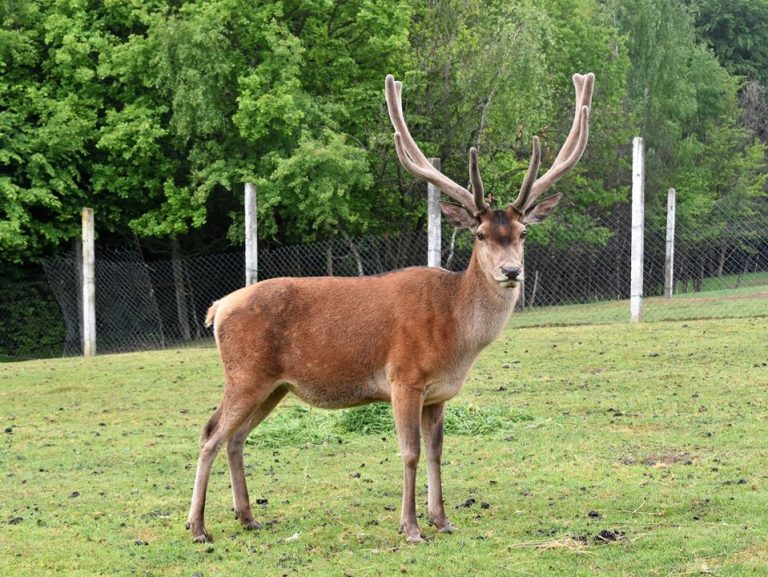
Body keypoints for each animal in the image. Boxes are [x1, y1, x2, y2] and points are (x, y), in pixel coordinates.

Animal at [186, 70, 592, 544]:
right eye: (480, 235)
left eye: (523, 233)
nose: (511, 271)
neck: (456, 335)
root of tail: (218, 308)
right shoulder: (404, 378)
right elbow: (410, 452)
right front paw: (411, 527)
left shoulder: (439, 392)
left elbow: (437, 452)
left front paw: (442, 519)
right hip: (245, 374)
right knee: (210, 433)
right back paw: (197, 526)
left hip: (274, 385)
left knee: (235, 437)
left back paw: (248, 517)